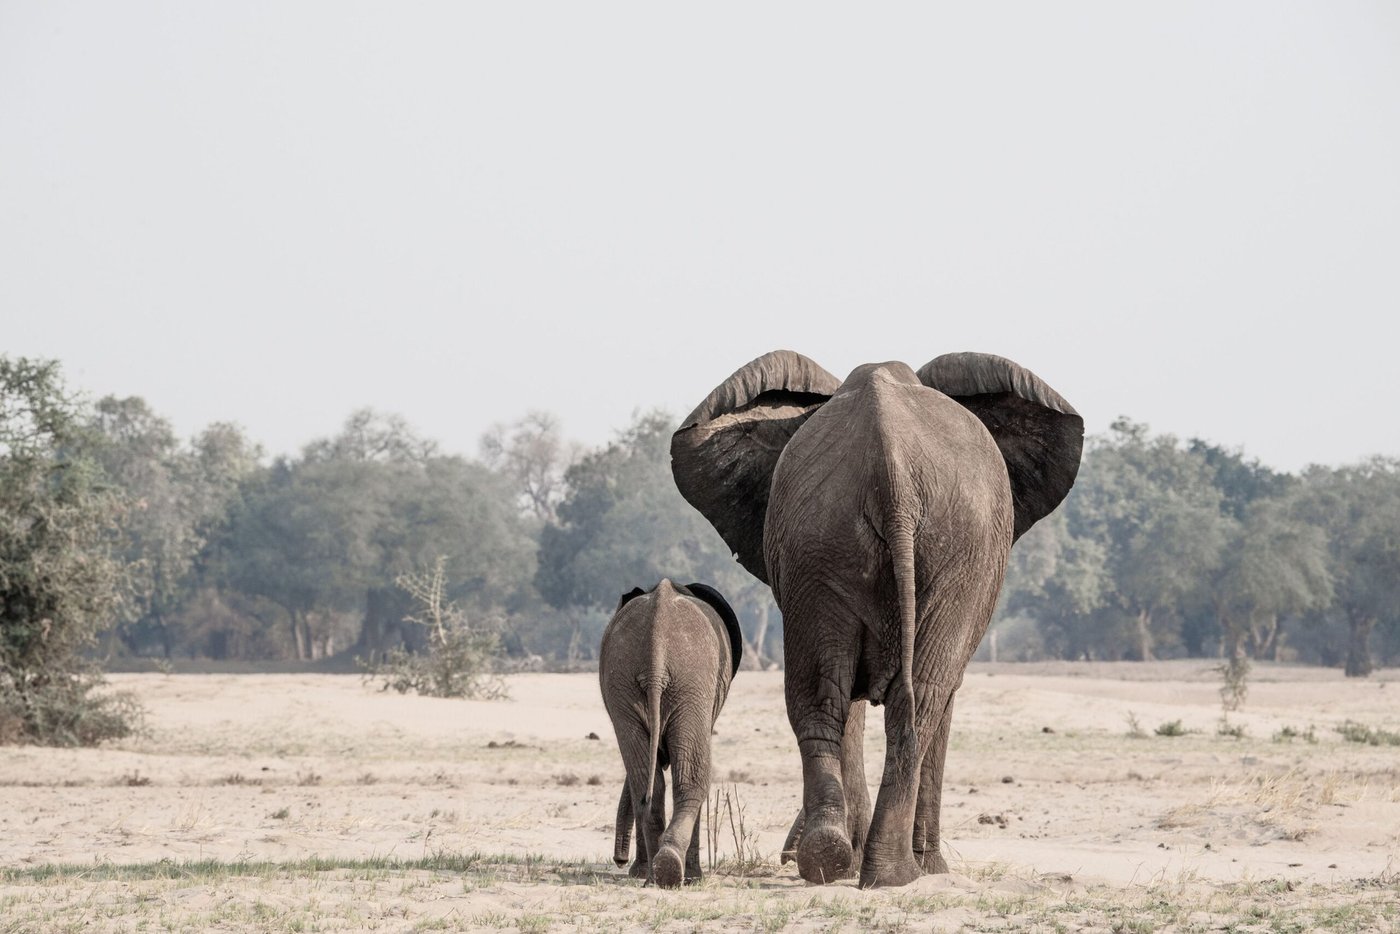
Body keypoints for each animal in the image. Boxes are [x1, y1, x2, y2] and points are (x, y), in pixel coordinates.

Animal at [599, 579, 743, 888]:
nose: (618, 860)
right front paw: (694, 877)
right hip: (691, 682)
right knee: (691, 777)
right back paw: (671, 872)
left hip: (626, 681)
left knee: (645, 782)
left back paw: (656, 876)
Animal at [671, 350, 1082, 887]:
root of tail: (893, 470)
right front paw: (928, 867)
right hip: (903, 550)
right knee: (915, 698)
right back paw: (894, 871)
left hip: (837, 543)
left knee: (833, 696)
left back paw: (840, 861)